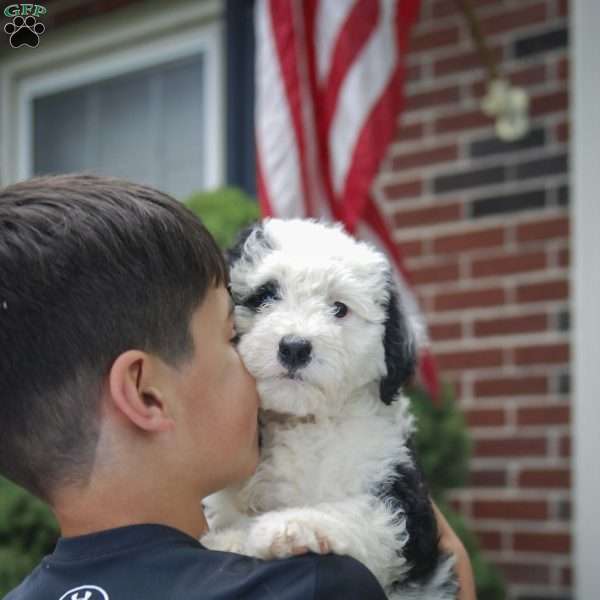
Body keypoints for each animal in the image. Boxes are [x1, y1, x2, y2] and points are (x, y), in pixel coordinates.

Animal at [202, 218, 460, 596]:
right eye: (265, 295)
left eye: (339, 308)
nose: (295, 347)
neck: (304, 421)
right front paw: (229, 540)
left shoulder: (400, 502)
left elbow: (360, 512)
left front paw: (291, 525)